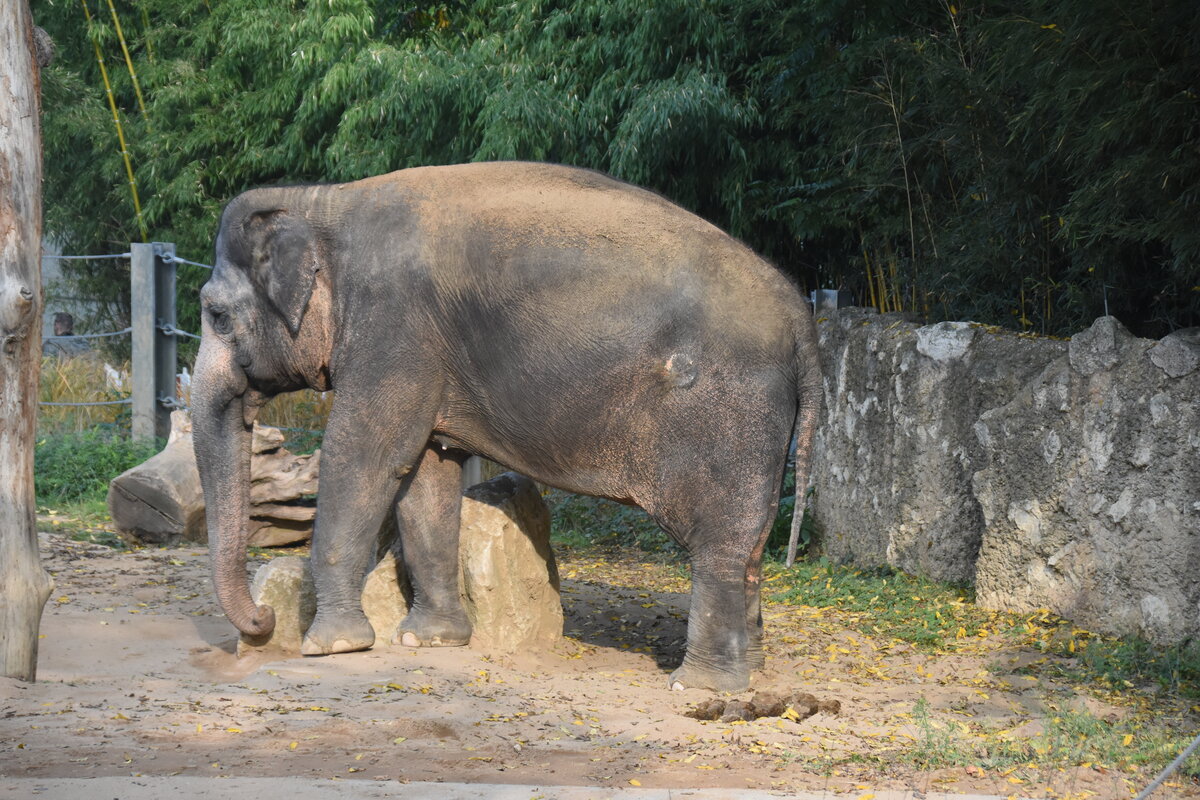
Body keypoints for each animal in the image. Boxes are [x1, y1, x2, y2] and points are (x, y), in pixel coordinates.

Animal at [192, 159, 825, 690]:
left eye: (217, 316)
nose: (262, 619)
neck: (323, 201)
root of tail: (802, 319)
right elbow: (426, 473)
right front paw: (429, 640)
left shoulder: (393, 328)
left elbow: (364, 456)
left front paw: (332, 648)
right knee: (748, 548)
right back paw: (747, 675)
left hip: (728, 411)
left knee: (721, 543)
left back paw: (698, 686)